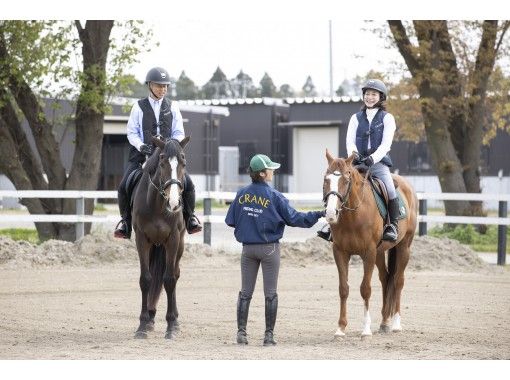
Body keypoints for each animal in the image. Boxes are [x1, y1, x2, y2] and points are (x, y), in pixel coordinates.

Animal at [131, 136, 189, 338]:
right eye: (162, 162)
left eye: (183, 162)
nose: (174, 203)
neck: (157, 204)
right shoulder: (141, 240)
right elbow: (145, 279)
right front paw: (142, 325)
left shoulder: (173, 240)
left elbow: (169, 279)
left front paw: (171, 326)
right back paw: (150, 318)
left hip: (179, 245)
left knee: (175, 275)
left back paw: (176, 322)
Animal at [324, 150, 416, 336]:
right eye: (326, 179)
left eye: (346, 180)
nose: (331, 213)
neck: (353, 216)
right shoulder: (340, 252)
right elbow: (343, 289)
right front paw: (340, 328)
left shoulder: (368, 253)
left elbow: (365, 289)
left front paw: (366, 329)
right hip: (380, 252)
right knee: (386, 278)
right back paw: (384, 322)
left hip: (403, 247)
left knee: (398, 280)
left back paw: (396, 323)